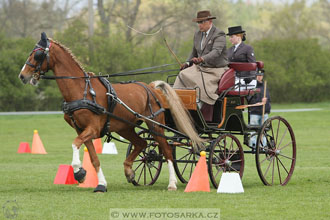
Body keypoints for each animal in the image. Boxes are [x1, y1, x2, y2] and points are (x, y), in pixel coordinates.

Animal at [19, 32, 202, 192]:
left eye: (37, 55)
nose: (22, 76)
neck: (81, 90)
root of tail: (151, 88)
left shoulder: (92, 129)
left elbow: (75, 144)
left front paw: (79, 172)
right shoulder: (82, 130)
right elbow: (94, 159)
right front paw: (100, 184)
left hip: (155, 125)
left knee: (167, 150)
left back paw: (172, 183)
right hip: (125, 127)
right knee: (142, 144)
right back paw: (129, 171)